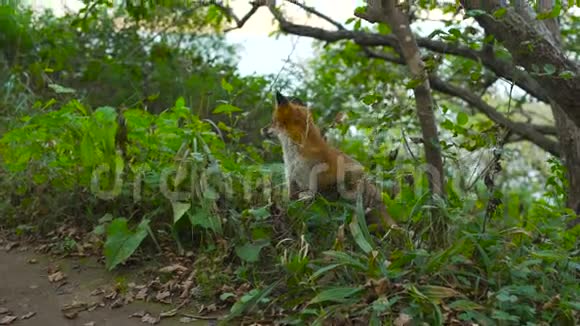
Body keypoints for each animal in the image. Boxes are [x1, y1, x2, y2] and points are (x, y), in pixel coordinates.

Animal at [260, 91, 396, 232]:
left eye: (272, 121)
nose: (262, 129)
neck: (294, 157)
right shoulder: (292, 181)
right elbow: (292, 204)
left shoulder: (319, 185)